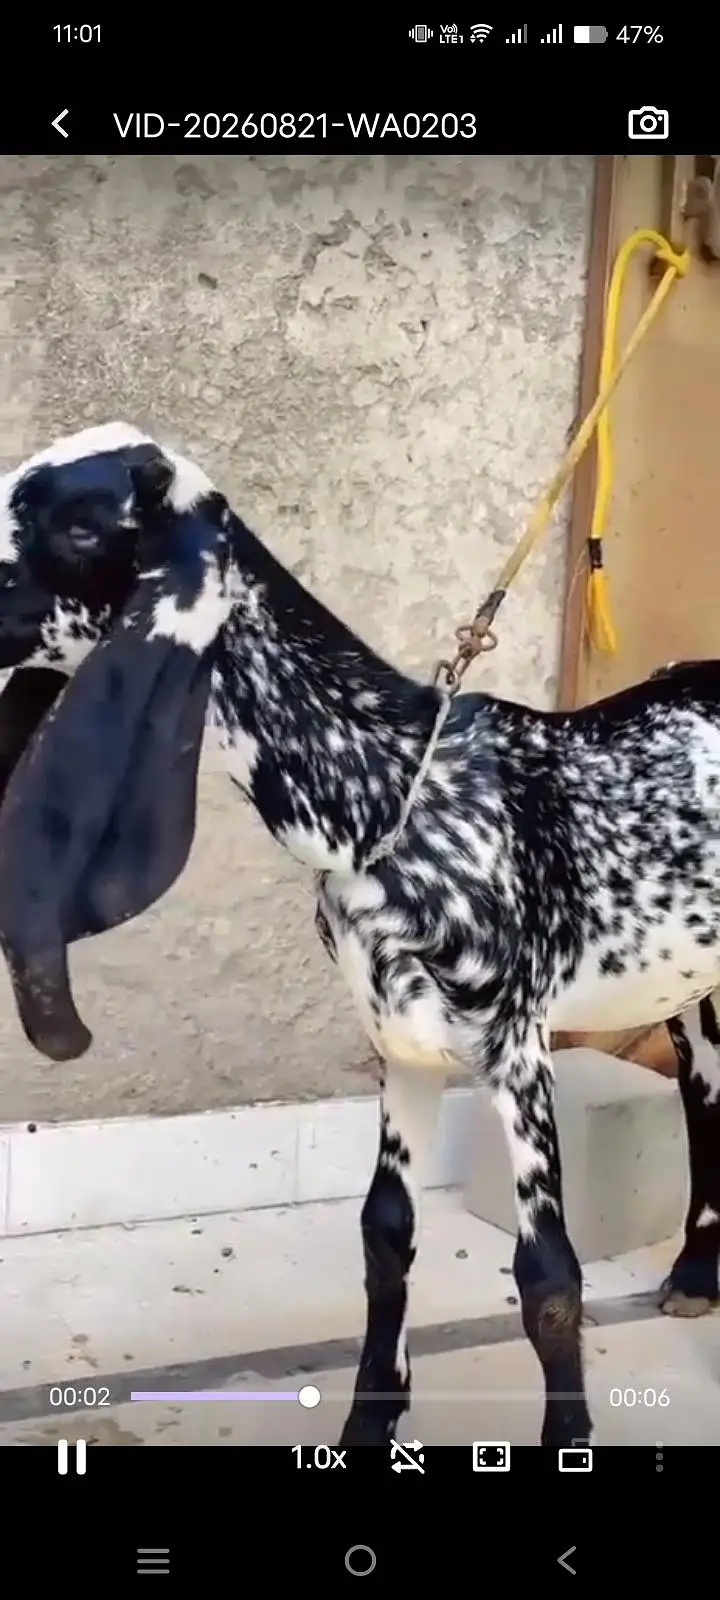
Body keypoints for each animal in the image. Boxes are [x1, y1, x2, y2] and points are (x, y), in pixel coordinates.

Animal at [0, 422, 718, 1448]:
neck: (394, 788)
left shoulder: (516, 1044)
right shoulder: (400, 1039)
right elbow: (385, 1232)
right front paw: (366, 1429)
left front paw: (567, 1439)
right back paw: (695, 1275)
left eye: (82, 524)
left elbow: (547, 1273)